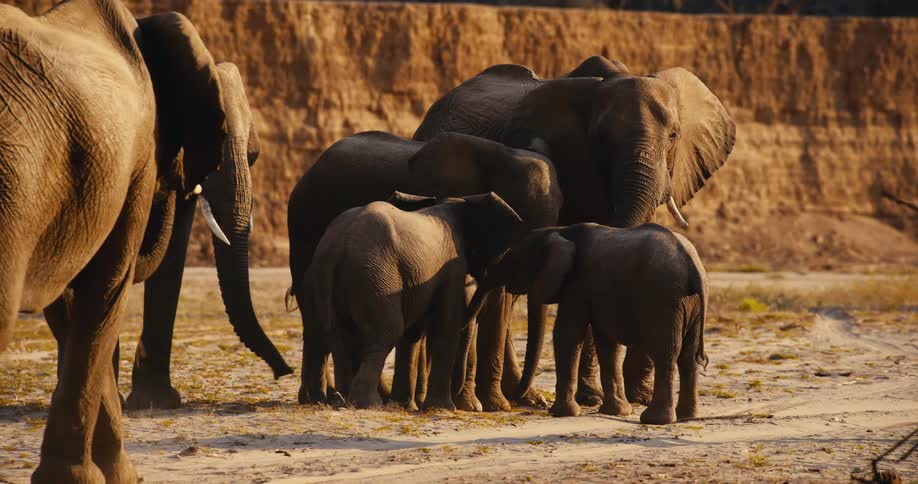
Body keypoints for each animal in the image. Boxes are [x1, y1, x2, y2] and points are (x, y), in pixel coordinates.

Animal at [299, 192, 525, 410]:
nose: (459, 391)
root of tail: (338, 246)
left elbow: (413, 334)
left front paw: (406, 405)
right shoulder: (453, 266)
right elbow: (445, 324)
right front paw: (442, 409)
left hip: (329, 279)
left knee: (339, 335)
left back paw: (342, 400)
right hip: (377, 276)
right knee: (386, 332)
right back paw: (369, 404)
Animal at [468, 223, 709, 424]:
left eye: (514, 261)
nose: (518, 400)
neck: (560, 231)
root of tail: (694, 267)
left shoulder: (577, 285)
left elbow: (567, 334)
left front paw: (560, 413)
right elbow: (606, 341)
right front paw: (617, 411)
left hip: (664, 298)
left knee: (665, 353)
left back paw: (654, 420)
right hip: (690, 303)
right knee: (687, 357)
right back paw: (687, 416)